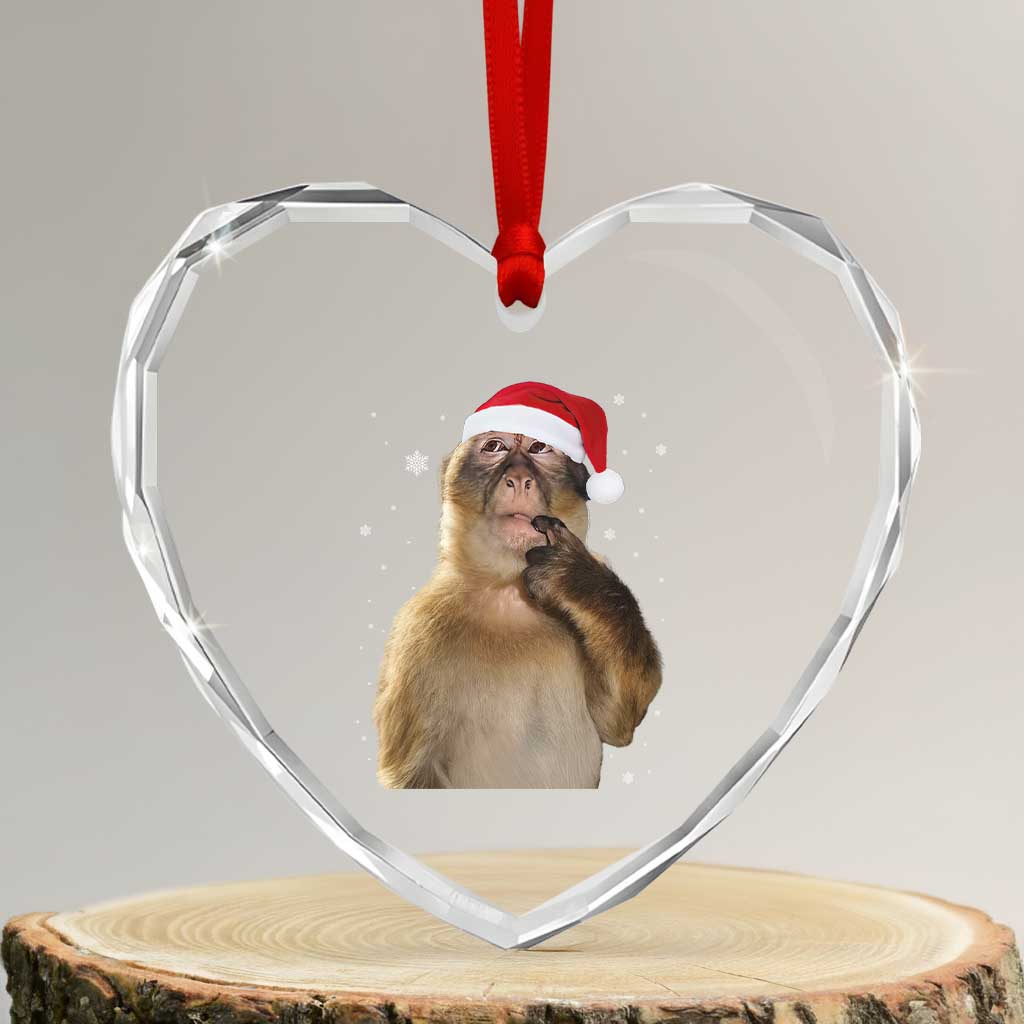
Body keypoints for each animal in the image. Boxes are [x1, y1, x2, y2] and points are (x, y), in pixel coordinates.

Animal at [373, 430, 662, 789]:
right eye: (494, 447)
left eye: (539, 448)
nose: (520, 479)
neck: (509, 592)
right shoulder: (416, 634)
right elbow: (412, 773)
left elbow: (618, 720)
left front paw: (576, 578)